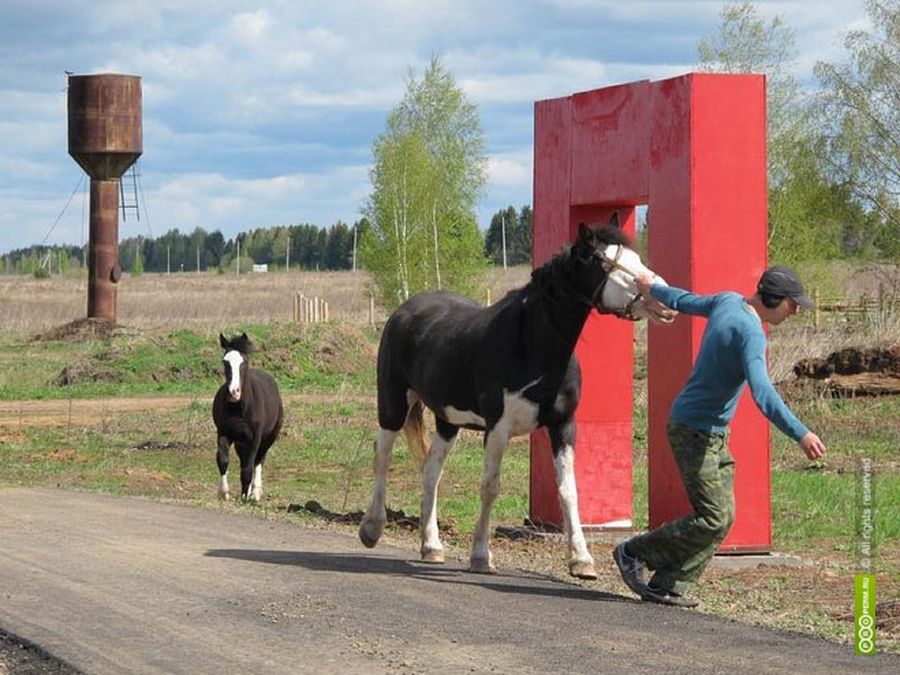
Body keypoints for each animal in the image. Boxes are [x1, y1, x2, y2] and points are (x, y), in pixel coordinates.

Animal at [213, 332, 284, 502]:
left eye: (243, 362)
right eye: (225, 362)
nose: (234, 392)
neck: (240, 409)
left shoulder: (255, 439)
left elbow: (248, 468)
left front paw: (245, 496)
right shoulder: (223, 433)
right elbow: (223, 461)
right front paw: (224, 493)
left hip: (268, 438)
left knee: (258, 461)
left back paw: (255, 492)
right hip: (241, 442)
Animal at [358, 214, 676, 580]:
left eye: (635, 256)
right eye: (605, 262)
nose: (662, 300)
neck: (532, 343)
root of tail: (404, 310)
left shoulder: (563, 426)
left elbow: (569, 490)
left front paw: (581, 560)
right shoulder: (499, 427)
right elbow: (490, 486)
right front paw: (481, 556)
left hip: (447, 421)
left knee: (431, 470)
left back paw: (432, 546)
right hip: (394, 402)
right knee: (382, 455)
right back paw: (372, 528)